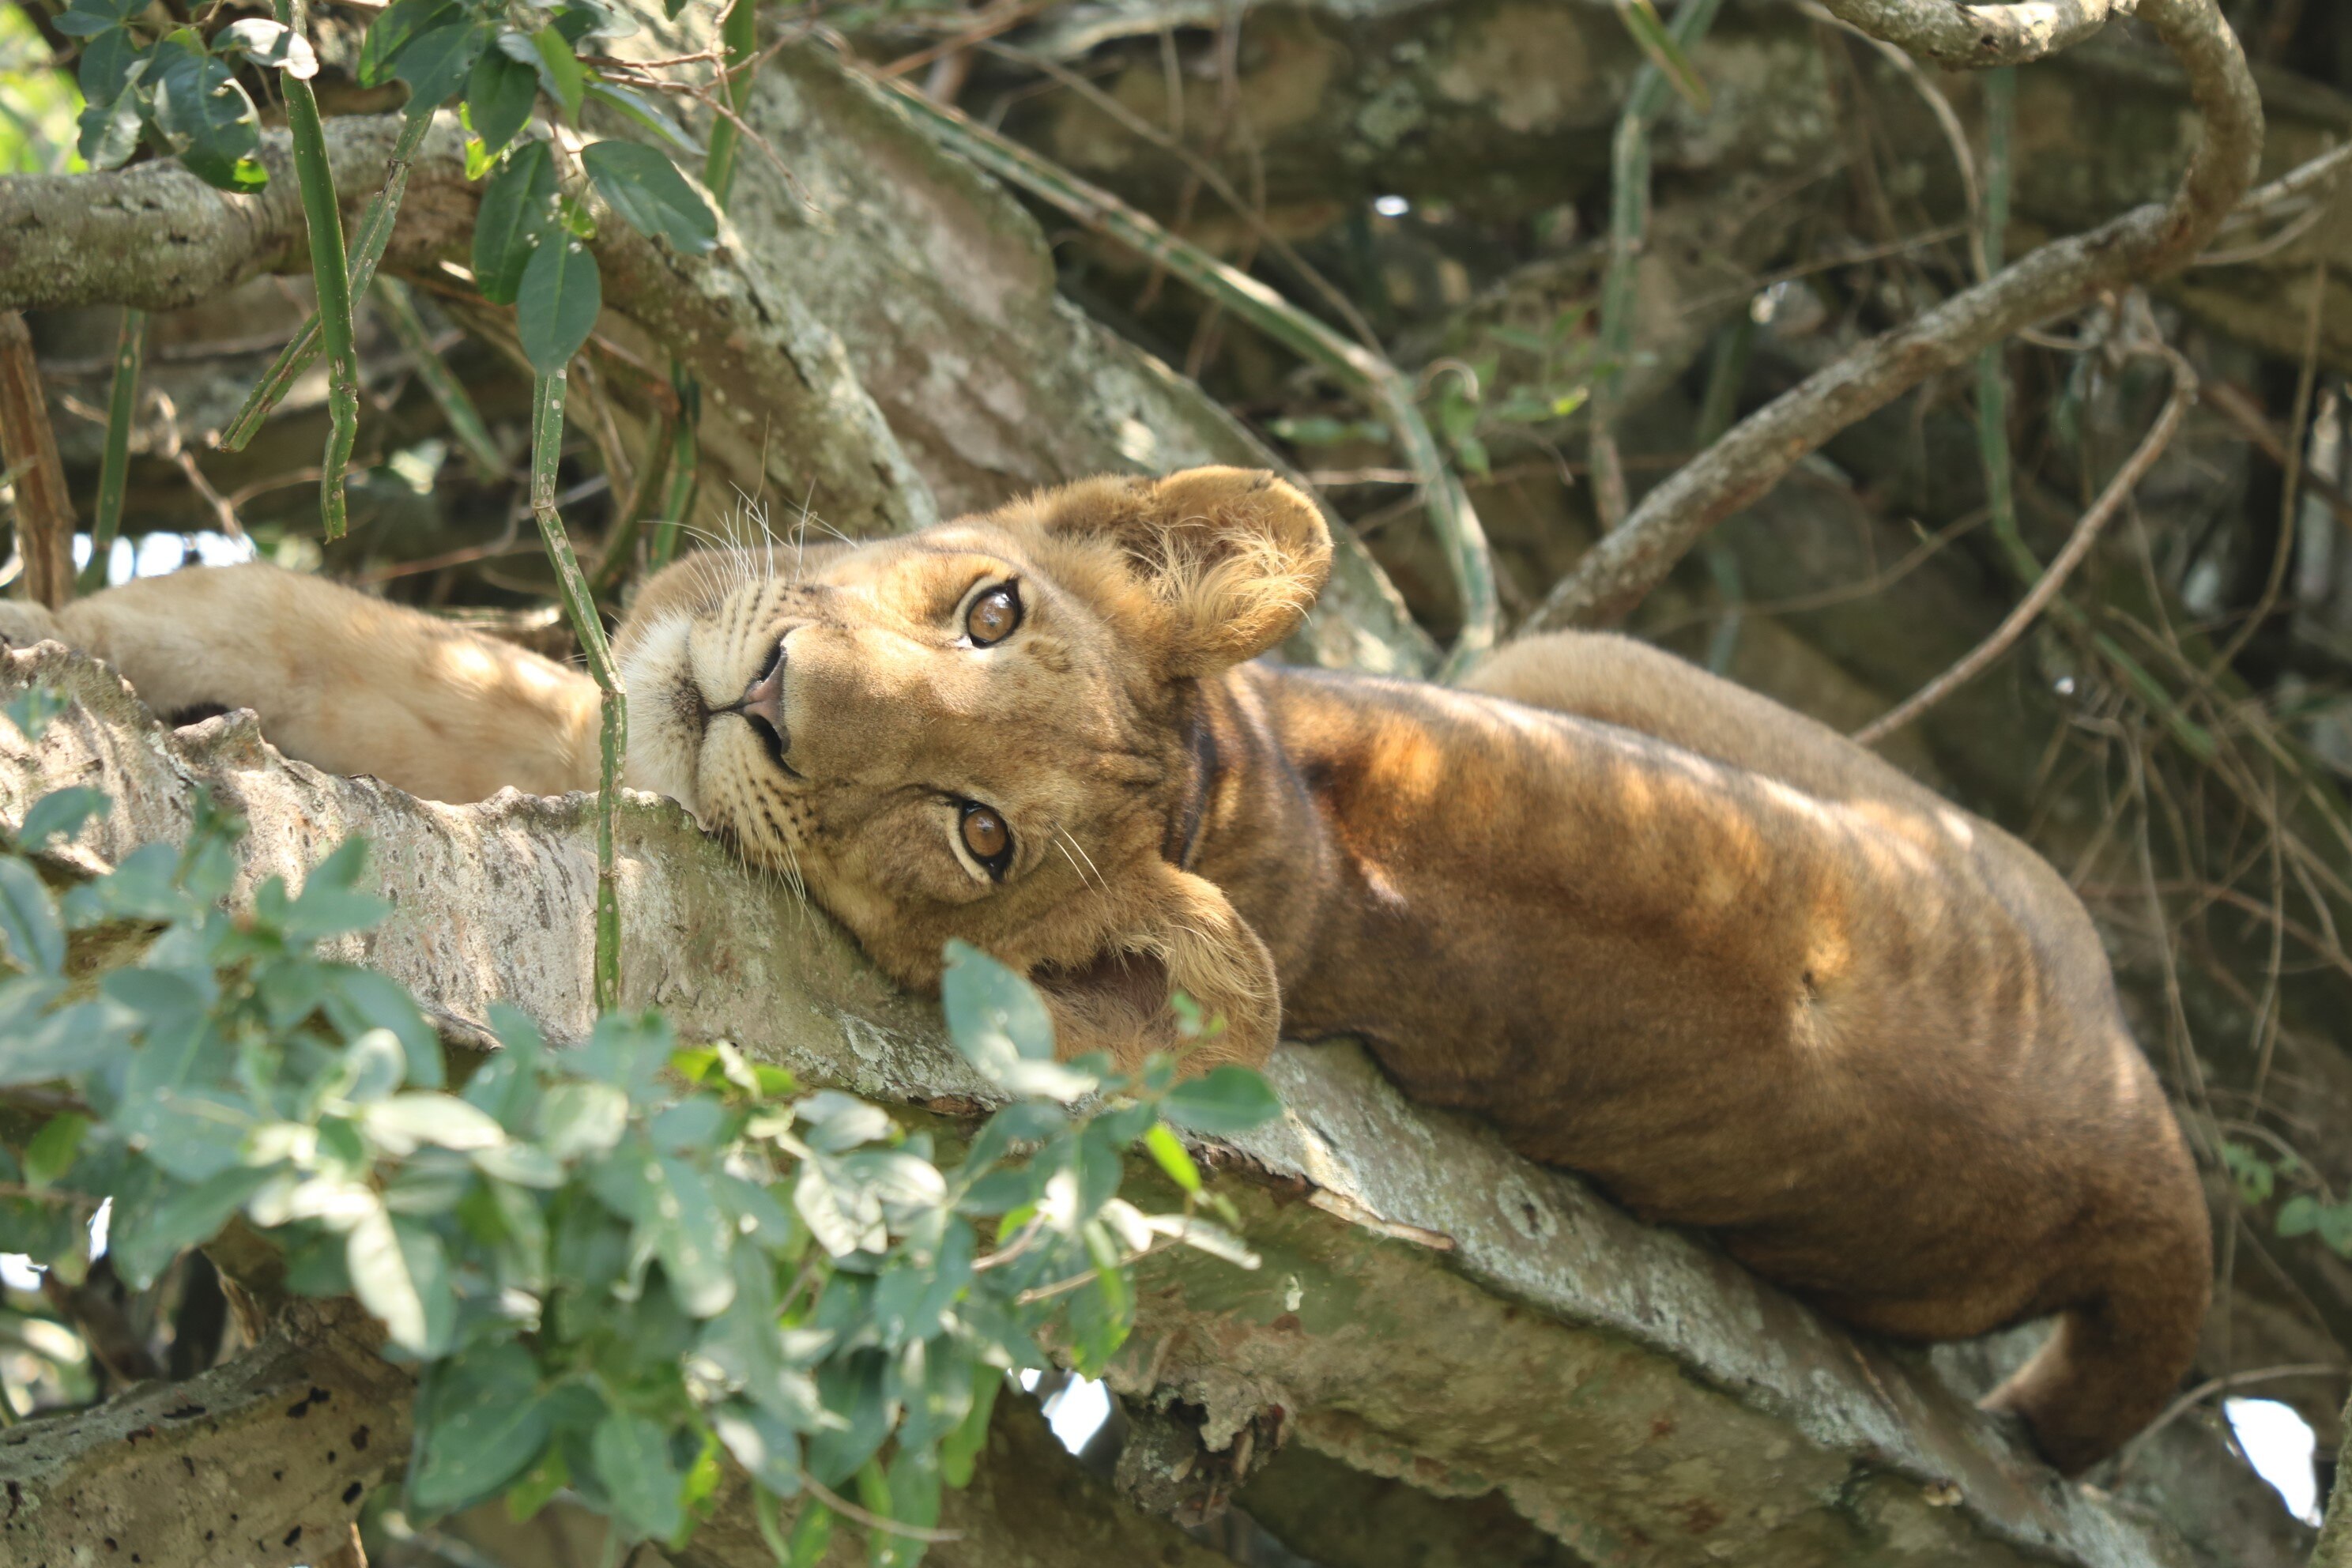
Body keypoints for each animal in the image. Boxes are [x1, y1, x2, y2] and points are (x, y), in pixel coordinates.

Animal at [1, 466, 2209, 1475]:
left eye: (982, 833)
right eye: (989, 607)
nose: (772, 694)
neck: (1255, 800)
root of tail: (2146, 1160)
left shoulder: (639, 795)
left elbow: (438, 679)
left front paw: (104, 643)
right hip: (1575, 669)